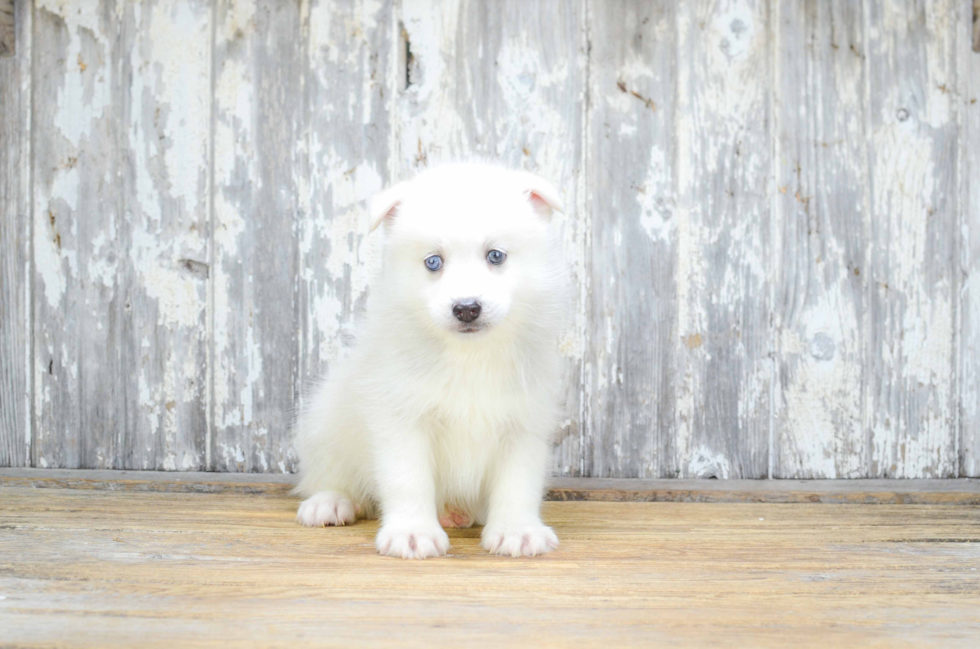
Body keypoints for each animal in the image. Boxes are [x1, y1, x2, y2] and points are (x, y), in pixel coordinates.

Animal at [292, 161, 568, 556]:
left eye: (495, 256)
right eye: (433, 262)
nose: (466, 308)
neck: (469, 355)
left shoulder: (523, 422)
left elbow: (518, 482)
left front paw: (518, 530)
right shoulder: (401, 418)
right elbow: (408, 479)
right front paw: (412, 532)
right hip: (324, 421)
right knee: (329, 474)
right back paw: (330, 502)